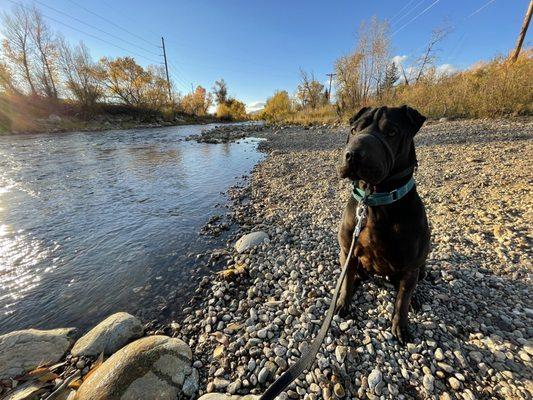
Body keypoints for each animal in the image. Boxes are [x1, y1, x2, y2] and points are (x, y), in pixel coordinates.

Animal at [334, 104, 430, 342]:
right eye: (353, 130)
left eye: (392, 132)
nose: (353, 155)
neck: (375, 198)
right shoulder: (347, 251)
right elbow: (346, 281)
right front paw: (342, 303)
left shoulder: (410, 266)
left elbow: (402, 300)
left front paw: (401, 326)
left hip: (419, 267)